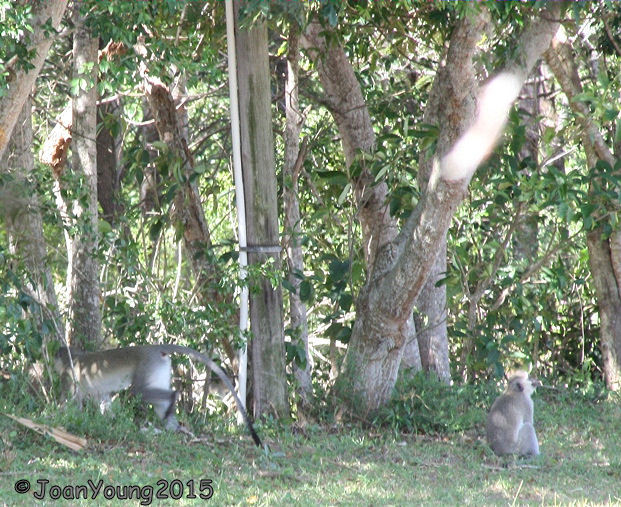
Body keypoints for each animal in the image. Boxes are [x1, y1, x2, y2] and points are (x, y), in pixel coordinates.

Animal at [55, 346, 262, 448]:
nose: (52, 362)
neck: (73, 358)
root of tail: (153, 349)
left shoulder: (67, 376)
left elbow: (69, 403)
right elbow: (103, 402)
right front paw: (109, 421)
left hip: (148, 364)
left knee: (138, 391)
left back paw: (173, 397)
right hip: (160, 366)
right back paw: (172, 425)